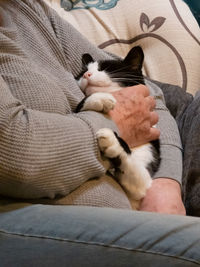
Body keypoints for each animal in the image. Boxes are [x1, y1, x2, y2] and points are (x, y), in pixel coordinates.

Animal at [75, 46, 161, 209]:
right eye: (82, 72)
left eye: (105, 68)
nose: (86, 74)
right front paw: (100, 98)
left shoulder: (143, 175)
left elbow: (136, 175)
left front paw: (113, 142)